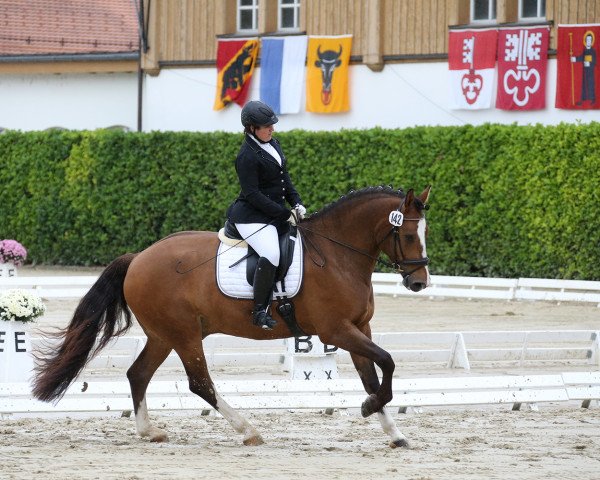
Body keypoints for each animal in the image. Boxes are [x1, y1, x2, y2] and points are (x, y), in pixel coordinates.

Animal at [31, 186, 432, 448]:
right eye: (409, 234)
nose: (419, 282)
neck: (337, 256)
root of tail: (139, 257)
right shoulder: (337, 329)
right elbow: (388, 362)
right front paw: (369, 408)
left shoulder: (359, 327)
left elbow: (371, 376)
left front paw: (394, 432)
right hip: (184, 335)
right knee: (199, 383)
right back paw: (248, 430)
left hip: (163, 335)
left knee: (138, 374)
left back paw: (150, 431)